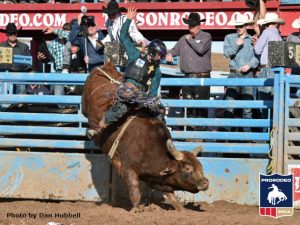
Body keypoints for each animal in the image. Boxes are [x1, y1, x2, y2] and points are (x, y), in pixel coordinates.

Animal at [81, 62, 209, 211]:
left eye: (200, 166)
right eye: (188, 168)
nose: (205, 182)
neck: (151, 148)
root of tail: (107, 65)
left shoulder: (157, 180)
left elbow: (172, 197)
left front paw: (181, 210)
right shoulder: (128, 169)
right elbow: (135, 191)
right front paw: (136, 210)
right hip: (86, 104)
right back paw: (93, 130)